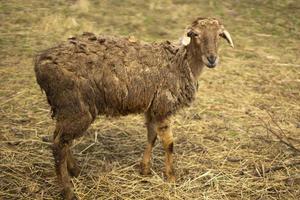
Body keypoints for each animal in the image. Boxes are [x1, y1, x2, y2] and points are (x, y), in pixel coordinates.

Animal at [34, 17, 233, 200]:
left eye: (219, 35)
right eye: (195, 34)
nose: (212, 59)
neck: (181, 62)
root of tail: (40, 63)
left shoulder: (152, 107)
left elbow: (152, 136)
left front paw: (145, 169)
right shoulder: (163, 106)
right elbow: (169, 143)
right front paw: (171, 177)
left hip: (66, 109)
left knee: (60, 139)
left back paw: (75, 170)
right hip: (75, 107)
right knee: (59, 145)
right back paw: (68, 191)